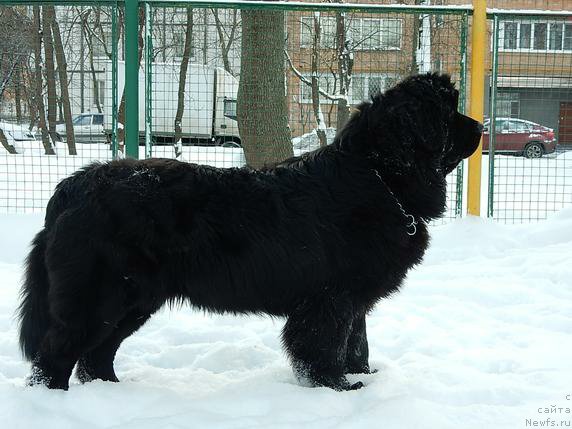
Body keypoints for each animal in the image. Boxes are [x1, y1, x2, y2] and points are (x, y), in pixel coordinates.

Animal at [17, 74, 480, 392]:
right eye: (448, 112)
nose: (479, 126)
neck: (380, 175)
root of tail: (76, 183)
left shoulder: (354, 300)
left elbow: (357, 344)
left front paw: (362, 377)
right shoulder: (330, 298)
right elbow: (326, 346)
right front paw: (338, 388)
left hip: (135, 299)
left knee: (95, 356)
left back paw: (112, 391)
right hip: (101, 295)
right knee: (56, 354)